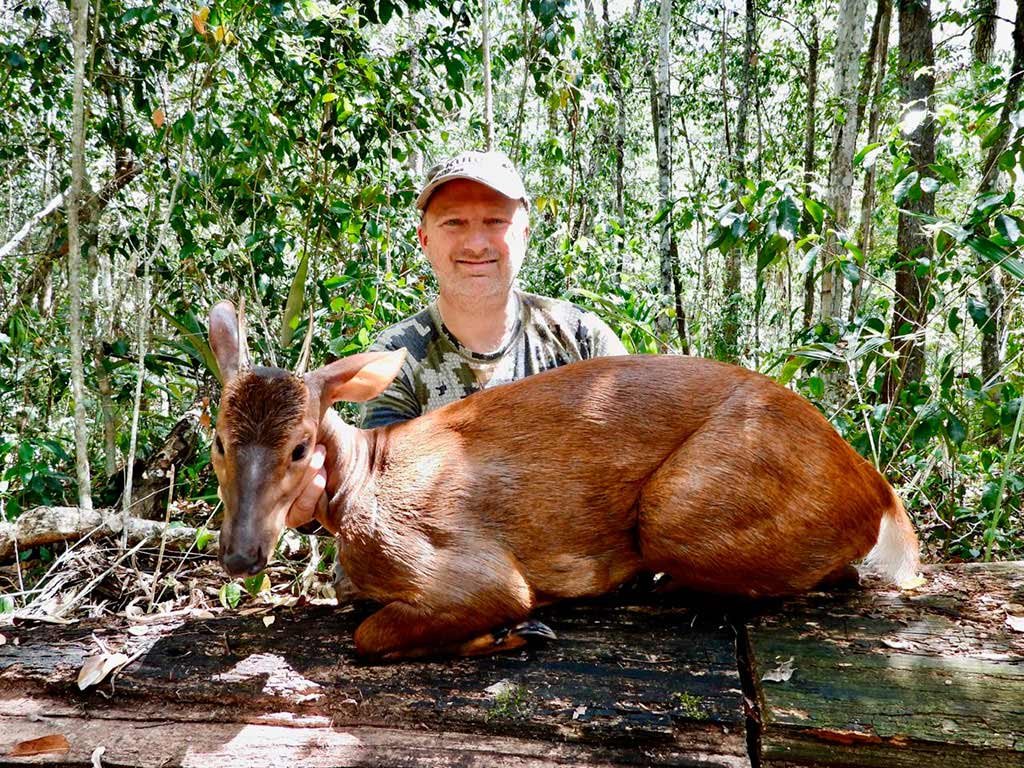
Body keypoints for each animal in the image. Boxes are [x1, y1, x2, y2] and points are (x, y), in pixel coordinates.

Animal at [207, 300, 920, 661]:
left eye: (300, 447)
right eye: (217, 439)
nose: (240, 555)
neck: (364, 480)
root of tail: (875, 487)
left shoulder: (477, 568)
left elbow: (369, 636)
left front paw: (516, 630)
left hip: (677, 512)